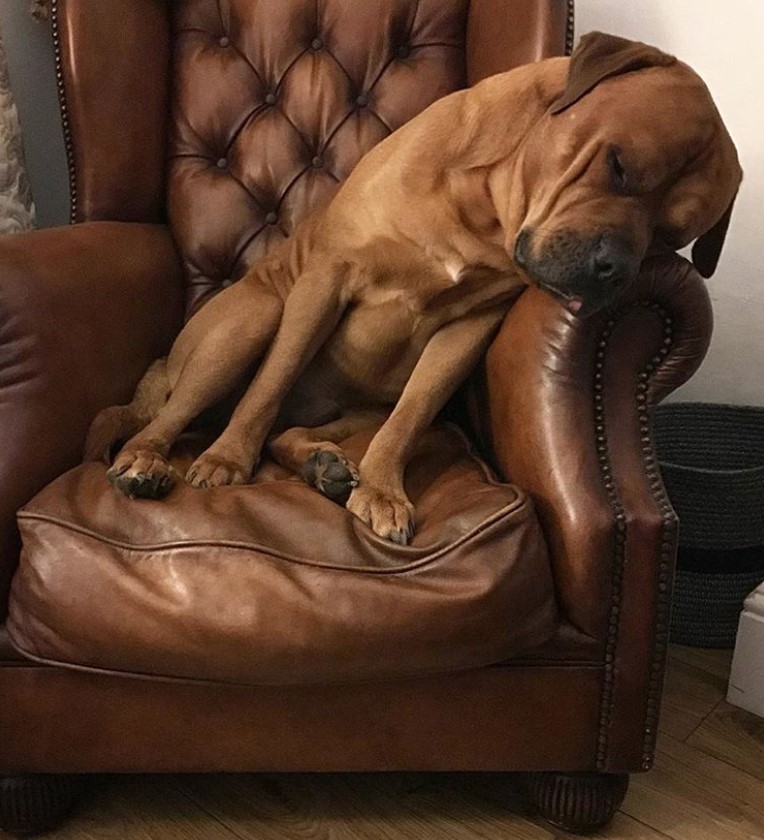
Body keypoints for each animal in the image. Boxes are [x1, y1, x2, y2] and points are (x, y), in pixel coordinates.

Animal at [88, 31, 740, 544]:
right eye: (619, 166)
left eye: (669, 236)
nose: (616, 270)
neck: (483, 208)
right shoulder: (325, 280)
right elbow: (270, 383)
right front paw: (226, 459)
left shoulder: (465, 331)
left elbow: (411, 415)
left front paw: (380, 489)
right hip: (250, 323)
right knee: (174, 415)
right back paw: (149, 460)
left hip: (358, 410)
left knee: (301, 431)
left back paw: (325, 466)